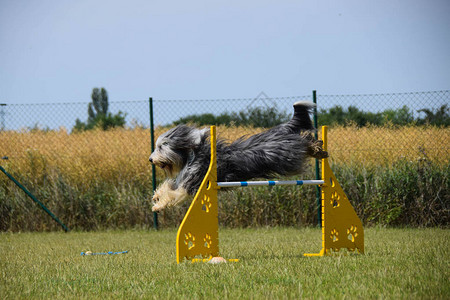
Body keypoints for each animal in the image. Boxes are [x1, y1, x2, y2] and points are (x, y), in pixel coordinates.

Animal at [149, 102, 328, 212]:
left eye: (161, 146)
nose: (151, 159)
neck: (192, 157)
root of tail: (282, 130)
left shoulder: (192, 184)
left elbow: (173, 194)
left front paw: (157, 206)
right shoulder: (185, 180)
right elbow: (169, 185)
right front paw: (156, 196)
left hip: (289, 158)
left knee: (305, 141)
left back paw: (317, 149)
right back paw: (318, 149)